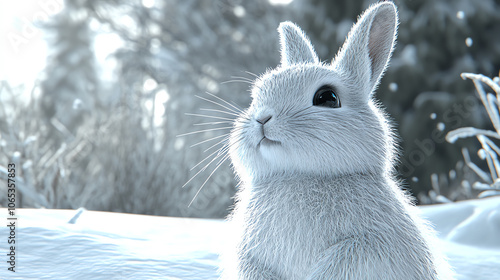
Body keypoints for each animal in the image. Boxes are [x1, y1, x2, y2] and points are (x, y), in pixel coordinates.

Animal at [219, 2, 454, 280]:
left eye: (328, 97)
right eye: (256, 97)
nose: (262, 118)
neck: (297, 175)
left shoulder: (369, 247)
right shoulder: (248, 257)